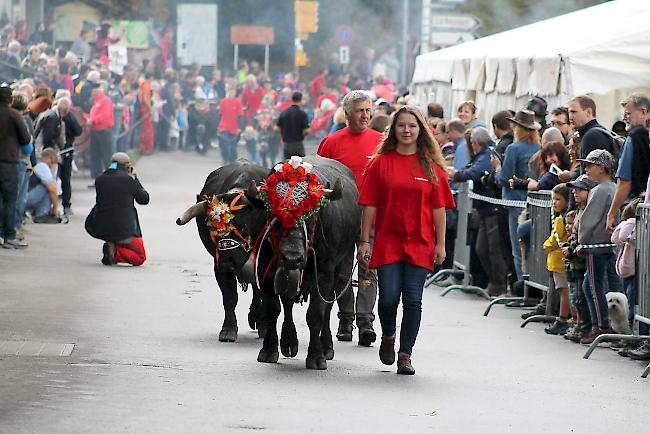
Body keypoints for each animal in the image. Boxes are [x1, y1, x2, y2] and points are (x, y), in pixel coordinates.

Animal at [175, 159, 268, 342]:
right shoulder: (217, 264)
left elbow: (261, 292)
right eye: (213, 231)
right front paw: (228, 329)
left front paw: (262, 324)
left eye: (243, 228)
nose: (227, 264)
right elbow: (230, 297)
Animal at [244, 156, 356, 370]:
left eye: (311, 214)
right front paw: (269, 350)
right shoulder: (265, 270)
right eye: (275, 213)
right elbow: (273, 309)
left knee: (328, 308)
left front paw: (316, 356)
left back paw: (326, 346)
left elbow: (316, 314)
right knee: (287, 302)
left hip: (342, 266)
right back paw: (289, 342)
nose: (292, 257)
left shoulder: (325, 273)